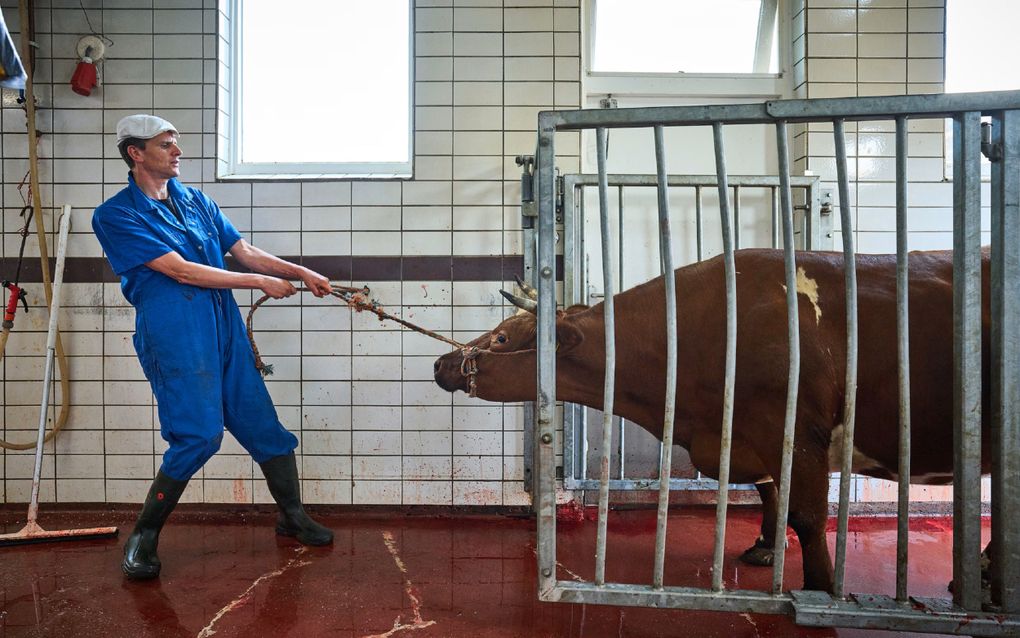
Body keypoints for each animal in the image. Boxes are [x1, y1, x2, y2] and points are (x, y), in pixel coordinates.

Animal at [434, 244, 991, 592]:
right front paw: (766, 546)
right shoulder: (747, 438)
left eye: (502, 337)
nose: (442, 363)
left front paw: (818, 587)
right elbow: (771, 495)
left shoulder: (796, 432)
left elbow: (807, 516)